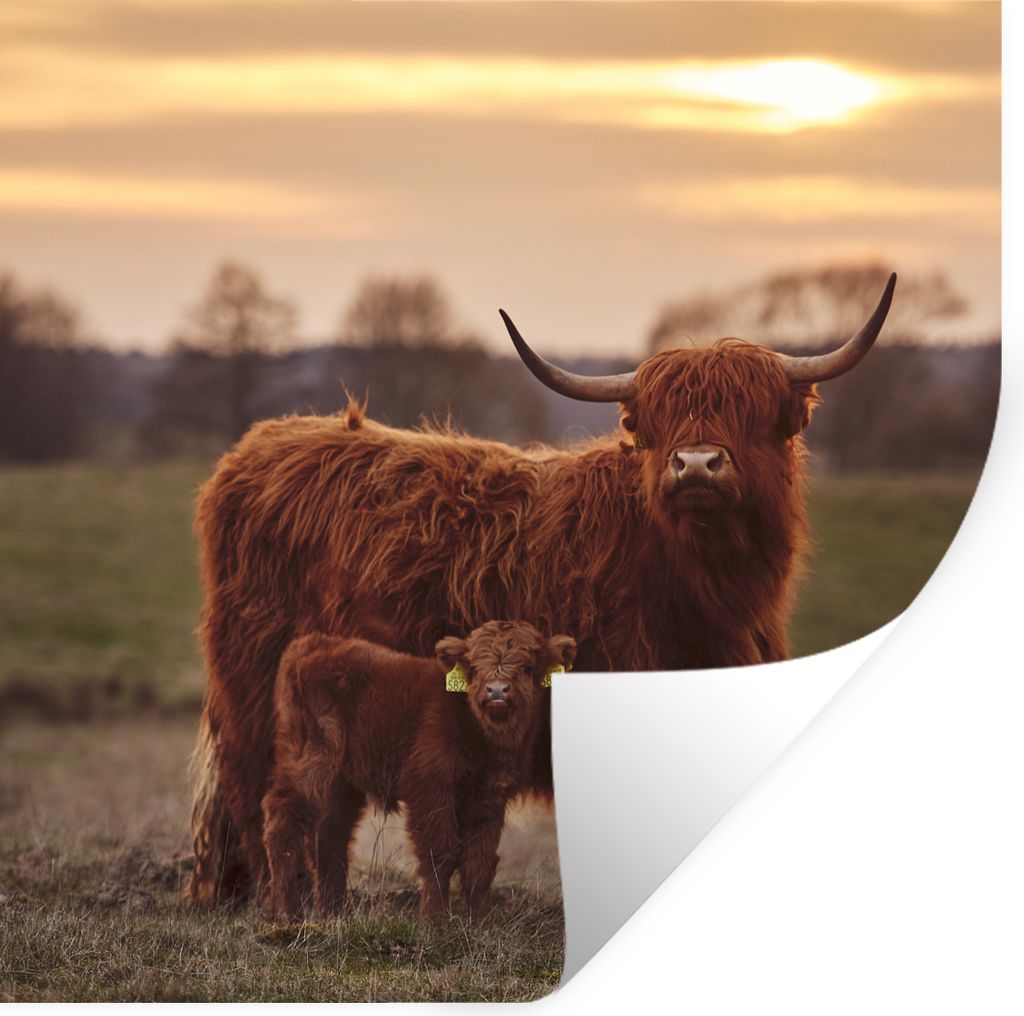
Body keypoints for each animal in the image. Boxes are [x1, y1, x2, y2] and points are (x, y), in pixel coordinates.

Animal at [185, 274, 896, 904]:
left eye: (753, 415)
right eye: (658, 421)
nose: (696, 464)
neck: (698, 581)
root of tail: (264, 443)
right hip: (254, 685)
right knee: (257, 791)